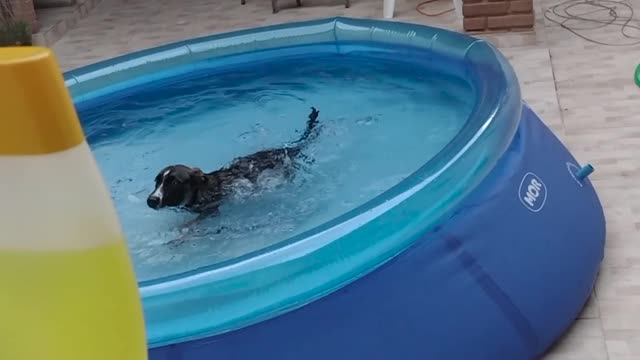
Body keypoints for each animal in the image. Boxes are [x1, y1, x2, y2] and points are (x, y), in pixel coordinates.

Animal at [148, 107, 322, 219]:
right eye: (157, 181)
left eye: (174, 182)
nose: (151, 200)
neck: (201, 190)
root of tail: (288, 149)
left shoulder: (211, 211)